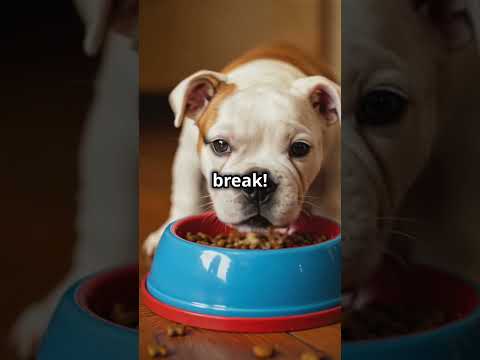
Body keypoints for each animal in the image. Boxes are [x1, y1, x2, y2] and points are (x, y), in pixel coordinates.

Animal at [142, 47, 342, 256]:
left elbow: (333, 198)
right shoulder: (188, 154)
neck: (265, 78)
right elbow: (186, 195)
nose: (258, 185)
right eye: (220, 145)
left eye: (300, 148)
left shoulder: (335, 158)